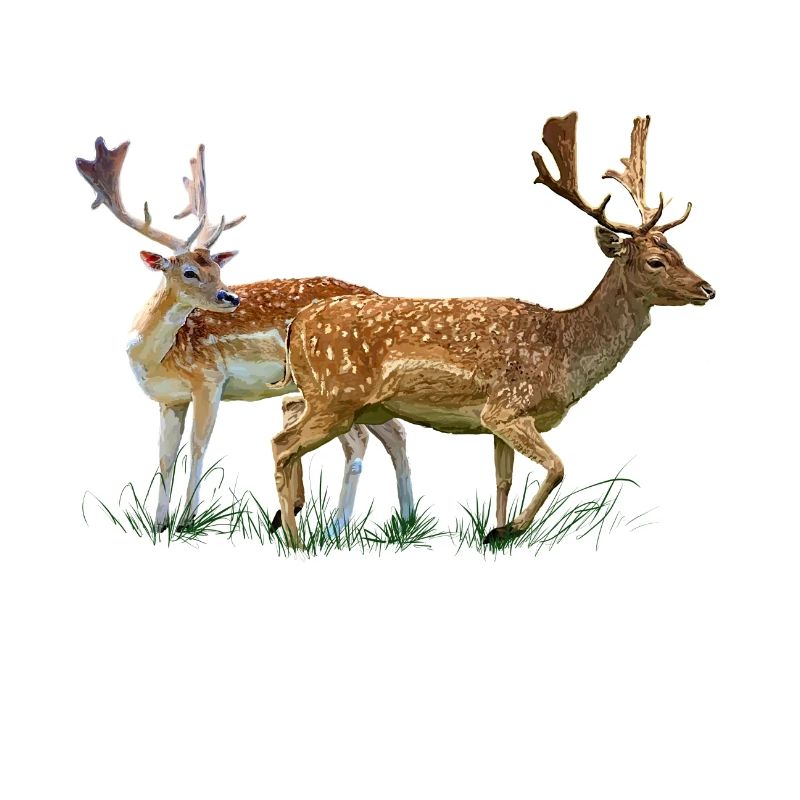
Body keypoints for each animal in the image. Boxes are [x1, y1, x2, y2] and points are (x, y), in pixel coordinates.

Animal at [76, 138, 414, 535]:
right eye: (189, 271)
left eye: (218, 268)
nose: (230, 297)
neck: (156, 357)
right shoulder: (169, 399)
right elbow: (165, 456)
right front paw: (158, 523)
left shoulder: (209, 380)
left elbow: (198, 447)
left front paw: (187, 520)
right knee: (395, 432)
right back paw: (405, 519)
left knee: (359, 441)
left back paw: (336, 527)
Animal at [270, 112, 716, 545]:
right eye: (656, 261)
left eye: (680, 252)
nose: (708, 288)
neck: (564, 349)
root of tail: (297, 324)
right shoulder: (507, 407)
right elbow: (558, 467)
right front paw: (511, 529)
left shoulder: (497, 422)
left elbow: (503, 480)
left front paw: (496, 532)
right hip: (336, 397)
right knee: (282, 446)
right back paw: (294, 539)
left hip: (333, 398)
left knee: (289, 424)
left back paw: (288, 520)